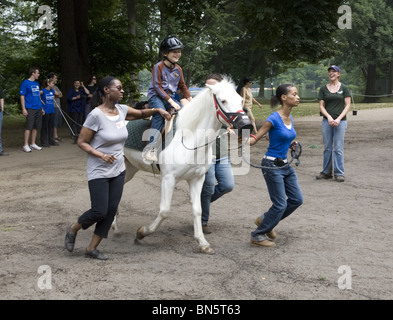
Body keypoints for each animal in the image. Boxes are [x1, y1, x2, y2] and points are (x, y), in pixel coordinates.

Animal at [113, 76, 251, 254]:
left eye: (240, 100)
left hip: (129, 169)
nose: (246, 125)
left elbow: (198, 209)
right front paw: (142, 233)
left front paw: (202, 243)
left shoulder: (197, 179)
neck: (190, 139)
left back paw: (115, 227)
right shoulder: (168, 179)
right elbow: (165, 211)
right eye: (223, 100)